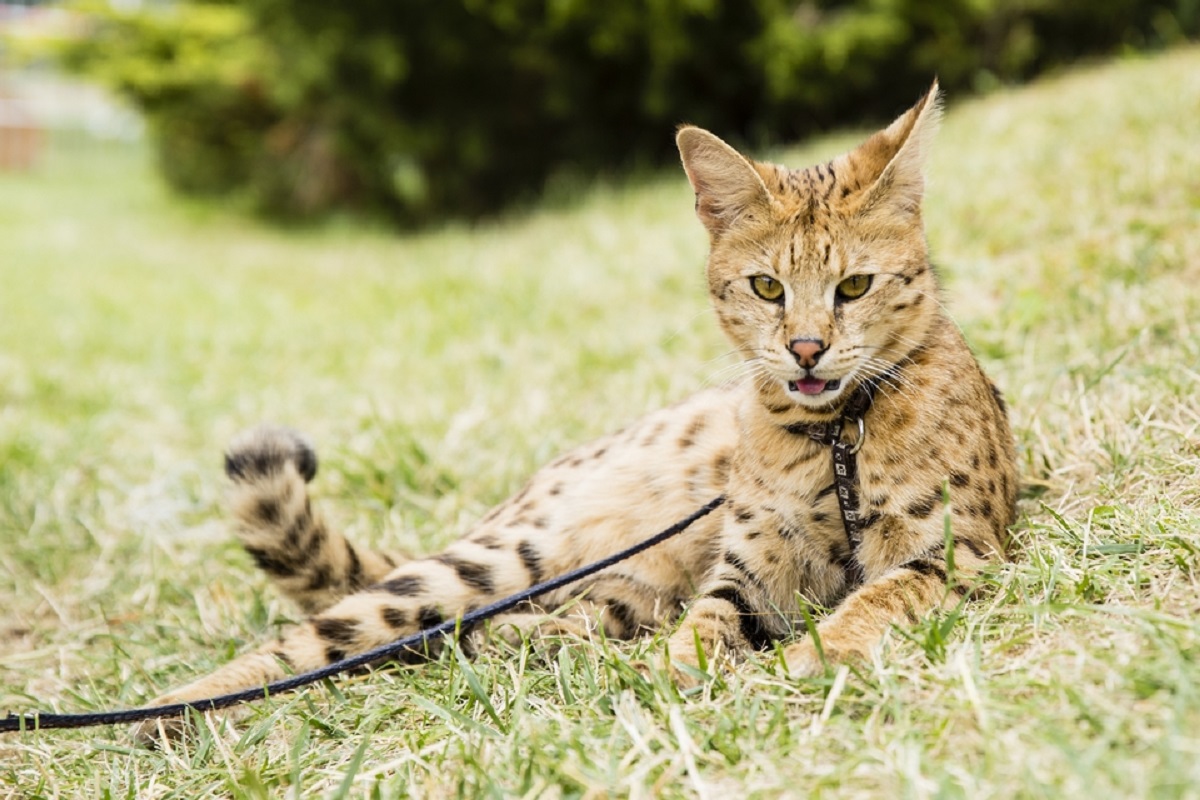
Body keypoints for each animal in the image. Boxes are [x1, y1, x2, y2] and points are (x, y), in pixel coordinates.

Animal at [133, 84, 1012, 743]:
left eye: (854, 287)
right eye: (767, 287)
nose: (804, 350)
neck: (835, 436)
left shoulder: (956, 550)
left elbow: (874, 599)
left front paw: (811, 660)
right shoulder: (750, 572)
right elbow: (708, 624)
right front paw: (679, 675)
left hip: (616, 584)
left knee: (510, 626)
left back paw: (526, 641)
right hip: (504, 556)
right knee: (322, 639)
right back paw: (172, 710)